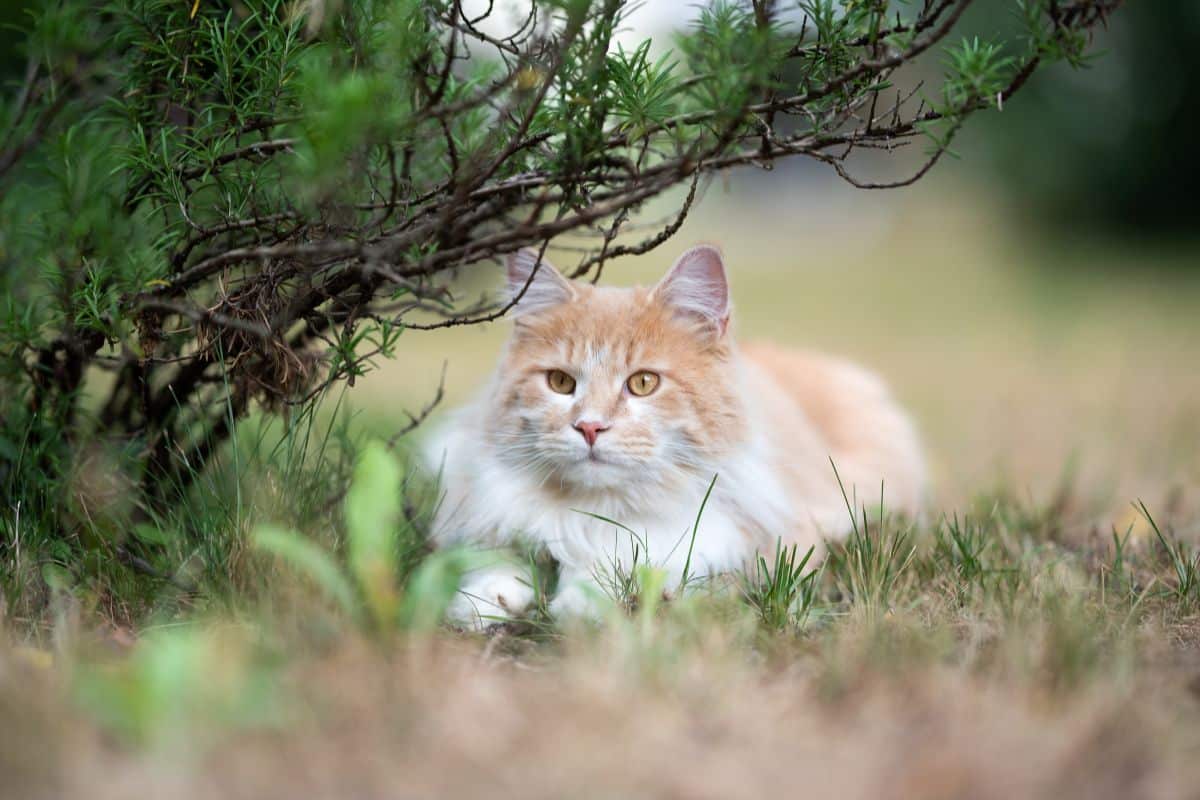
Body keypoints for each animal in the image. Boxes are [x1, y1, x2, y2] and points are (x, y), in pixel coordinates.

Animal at [424, 244, 926, 633]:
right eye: (560, 383)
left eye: (644, 383)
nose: (589, 427)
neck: (598, 514)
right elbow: (503, 564)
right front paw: (481, 604)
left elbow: (627, 570)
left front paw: (582, 603)